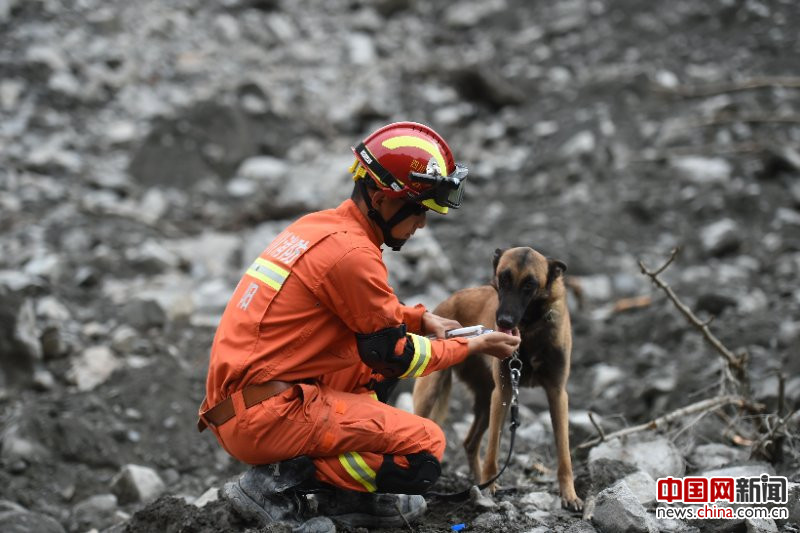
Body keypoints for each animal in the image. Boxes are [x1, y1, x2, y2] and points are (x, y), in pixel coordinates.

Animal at [412, 247, 580, 510]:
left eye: (530, 284)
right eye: (503, 278)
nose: (504, 322)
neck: (529, 329)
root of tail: (449, 300)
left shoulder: (557, 393)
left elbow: (564, 452)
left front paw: (569, 495)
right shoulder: (504, 392)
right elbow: (493, 448)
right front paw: (490, 486)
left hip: (485, 400)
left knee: (470, 443)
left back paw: (477, 483)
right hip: (434, 394)